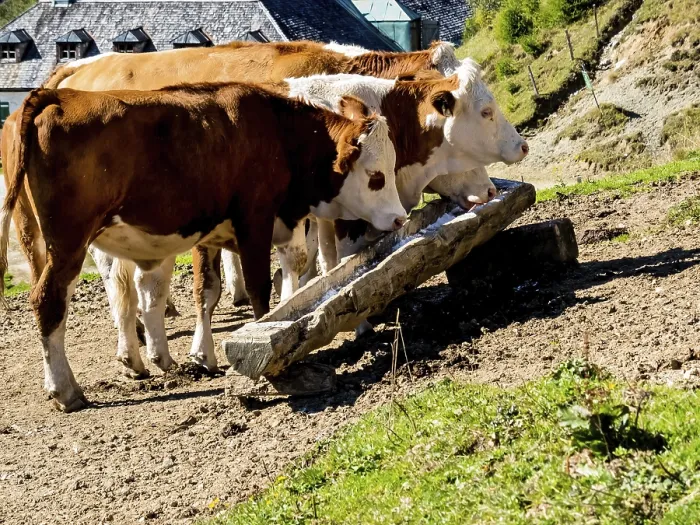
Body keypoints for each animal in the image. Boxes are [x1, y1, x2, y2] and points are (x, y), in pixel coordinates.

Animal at [0, 83, 406, 411]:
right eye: (376, 176)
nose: (401, 218)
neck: (277, 133)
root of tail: (56, 96)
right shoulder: (254, 220)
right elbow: (258, 287)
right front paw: (264, 346)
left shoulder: (216, 233)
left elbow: (209, 290)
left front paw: (205, 355)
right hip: (68, 243)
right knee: (49, 301)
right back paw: (65, 390)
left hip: (40, 240)